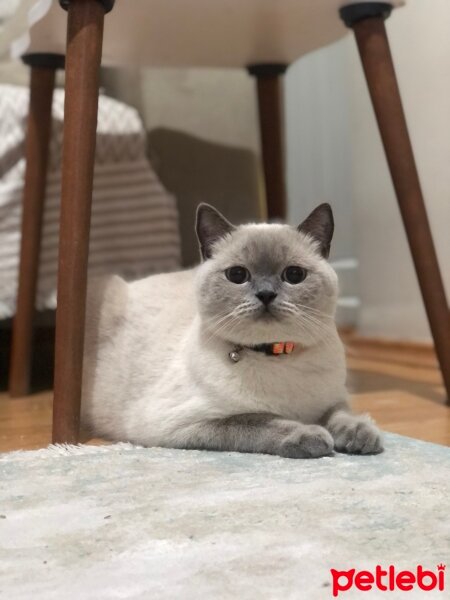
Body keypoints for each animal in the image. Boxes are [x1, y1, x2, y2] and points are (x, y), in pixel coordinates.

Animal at [81, 203, 384, 460]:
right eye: (237, 275)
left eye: (294, 275)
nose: (266, 294)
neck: (276, 355)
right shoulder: (182, 422)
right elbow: (258, 421)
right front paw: (311, 436)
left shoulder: (332, 398)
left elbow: (342, 414)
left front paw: (361, 435)